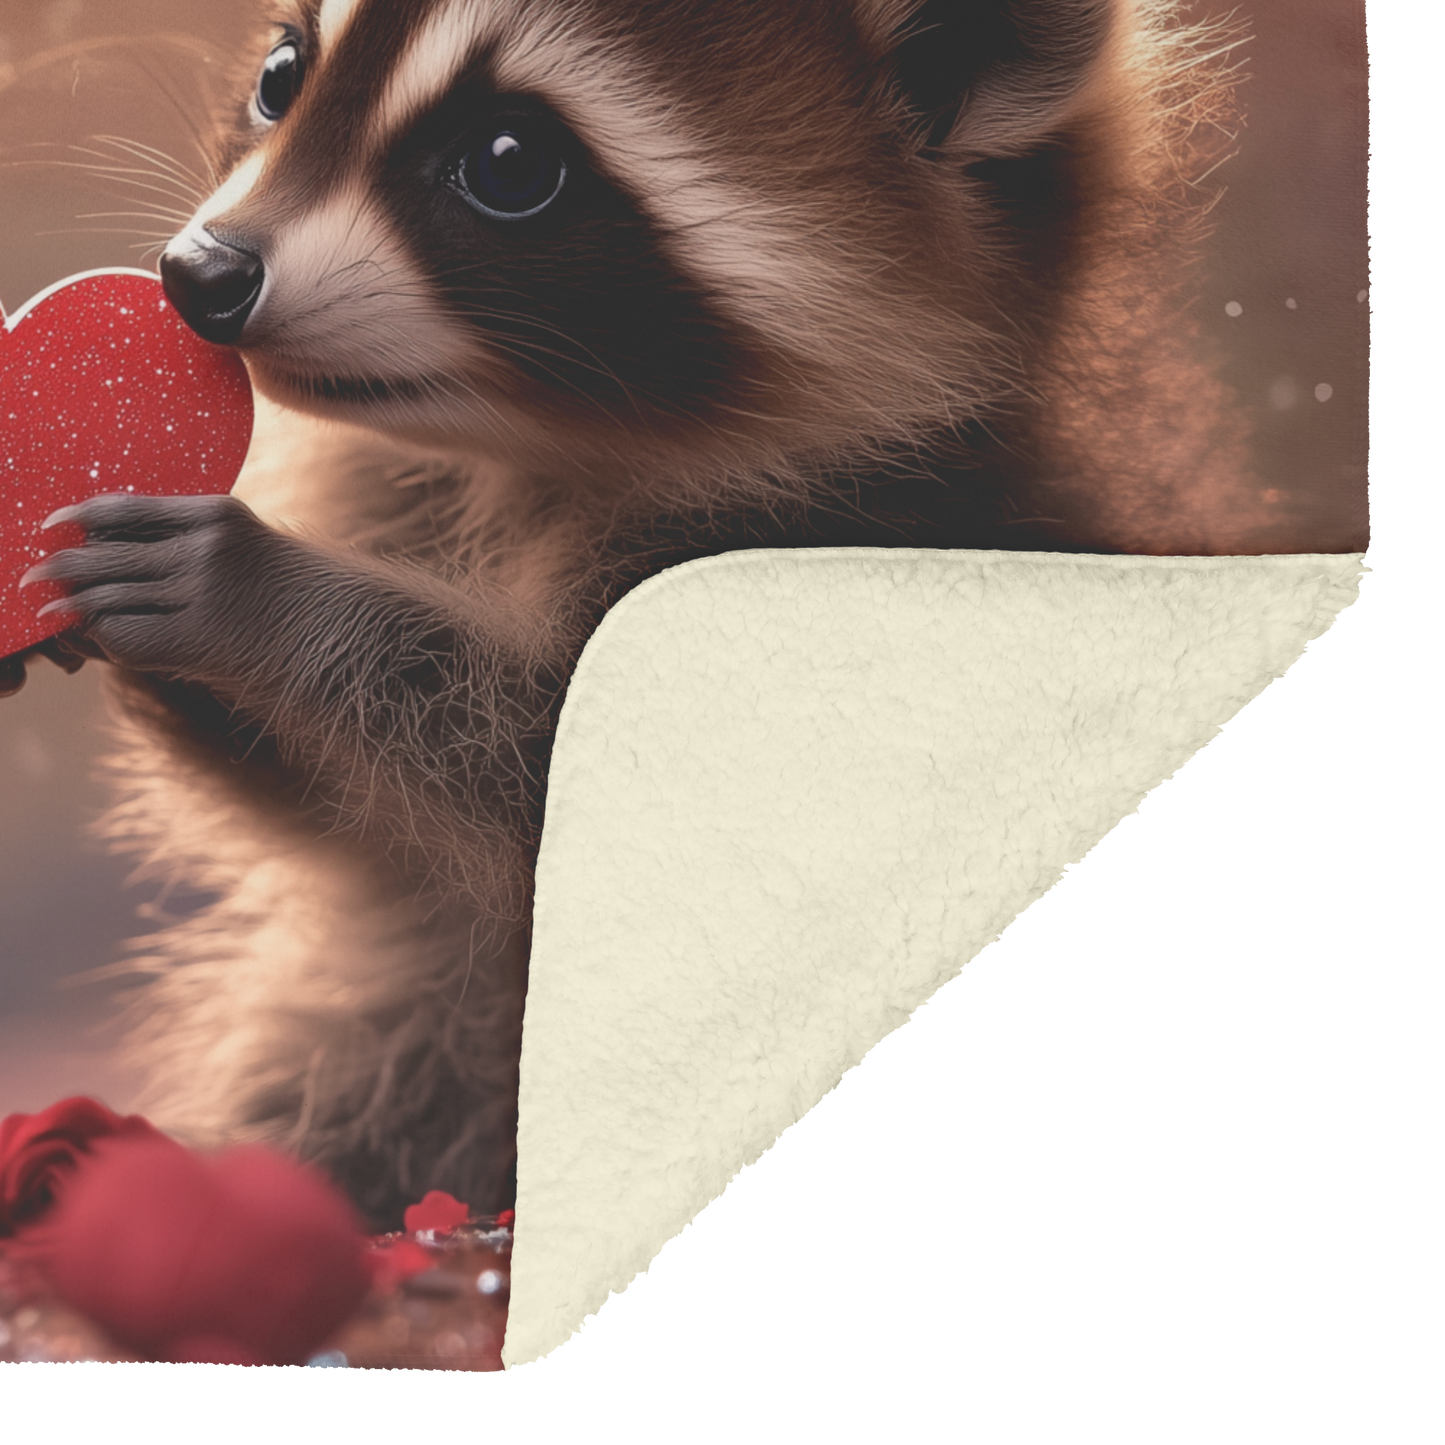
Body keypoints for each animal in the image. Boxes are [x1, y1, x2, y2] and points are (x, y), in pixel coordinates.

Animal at [10, 0, 1266, 1227]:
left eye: (509, 163)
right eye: (280, 75)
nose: (199, 273)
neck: (534, 454)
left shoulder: (879, 577)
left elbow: (561, 793)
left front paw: (264, 595)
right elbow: (351, 832)